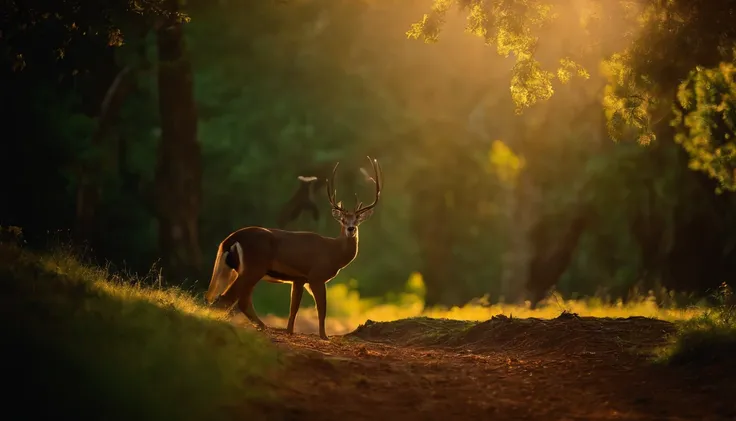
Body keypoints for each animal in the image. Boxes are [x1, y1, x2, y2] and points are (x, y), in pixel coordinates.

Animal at [204, 156, 382, 340]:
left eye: (357, 219)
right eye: (343, 220)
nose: (351, 229)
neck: (334, 252)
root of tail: (228, 240)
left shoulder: (299, 279)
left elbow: (293, 308)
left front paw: (289, 331)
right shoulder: (316, 276)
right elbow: (322, 308)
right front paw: (324, 336)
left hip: (242, 270)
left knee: (240, 300)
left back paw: (262, 326)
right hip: (253, 267)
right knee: (228, 298)